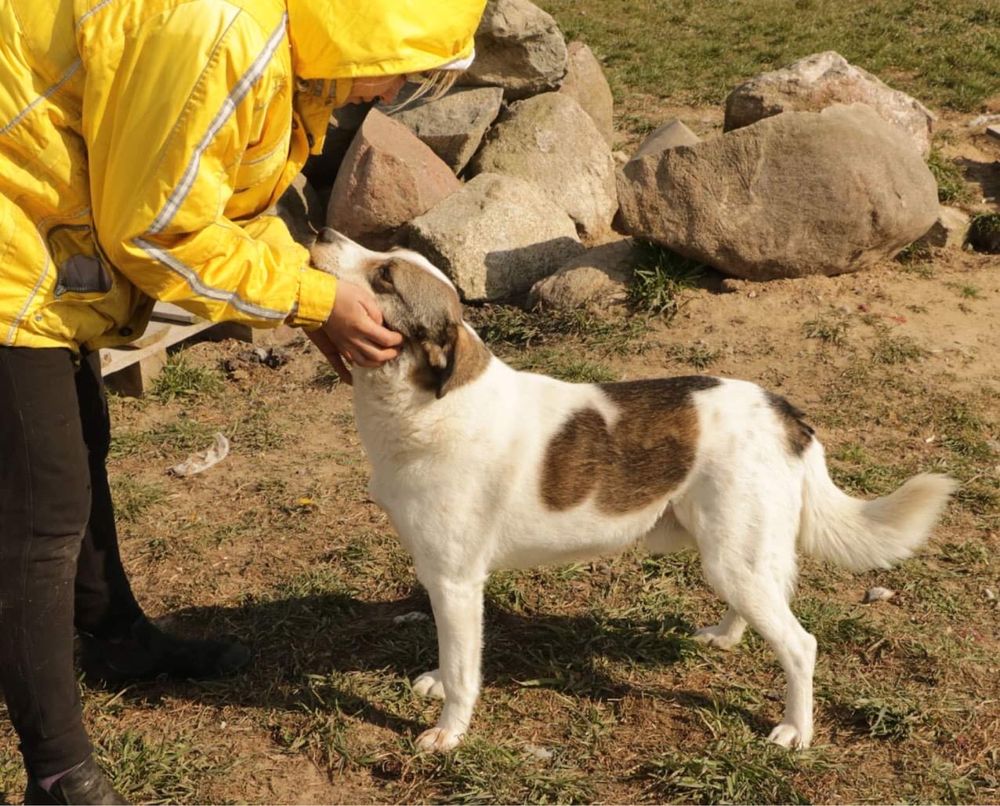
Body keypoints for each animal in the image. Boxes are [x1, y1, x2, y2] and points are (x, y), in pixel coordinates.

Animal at [308, 229, 956, 756]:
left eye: (384, 276)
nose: (318, 231)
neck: (429, 406)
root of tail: (786, 412)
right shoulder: (447, 584)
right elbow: (452, 657)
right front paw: (438, 684)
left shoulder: (457, 582)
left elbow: (465, 671)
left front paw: (449, 732)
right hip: (734, 556)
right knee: (757, 606)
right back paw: (725, 637)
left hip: (734, 559)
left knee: (801, 645)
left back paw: (797, 730)